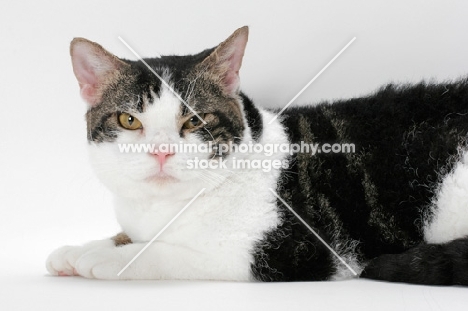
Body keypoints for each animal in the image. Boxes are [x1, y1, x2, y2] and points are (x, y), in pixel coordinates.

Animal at [45, 26, 468, 286]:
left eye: (195, 120)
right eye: (129, 120)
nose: (162, 151)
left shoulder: (287, 250)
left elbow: (170, 252)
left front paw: (115, 258)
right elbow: (127, 234)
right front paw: (81, 249)